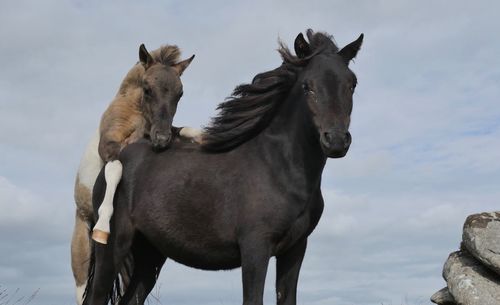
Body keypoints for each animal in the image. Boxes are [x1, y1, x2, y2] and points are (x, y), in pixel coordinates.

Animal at [83, 29, 364, 304]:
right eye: (307, 86)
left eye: (352, 84)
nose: (336, 141)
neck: (278, 167)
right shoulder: (255, 249)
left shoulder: (295, 250)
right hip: (113, 249)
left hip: (149, 254)